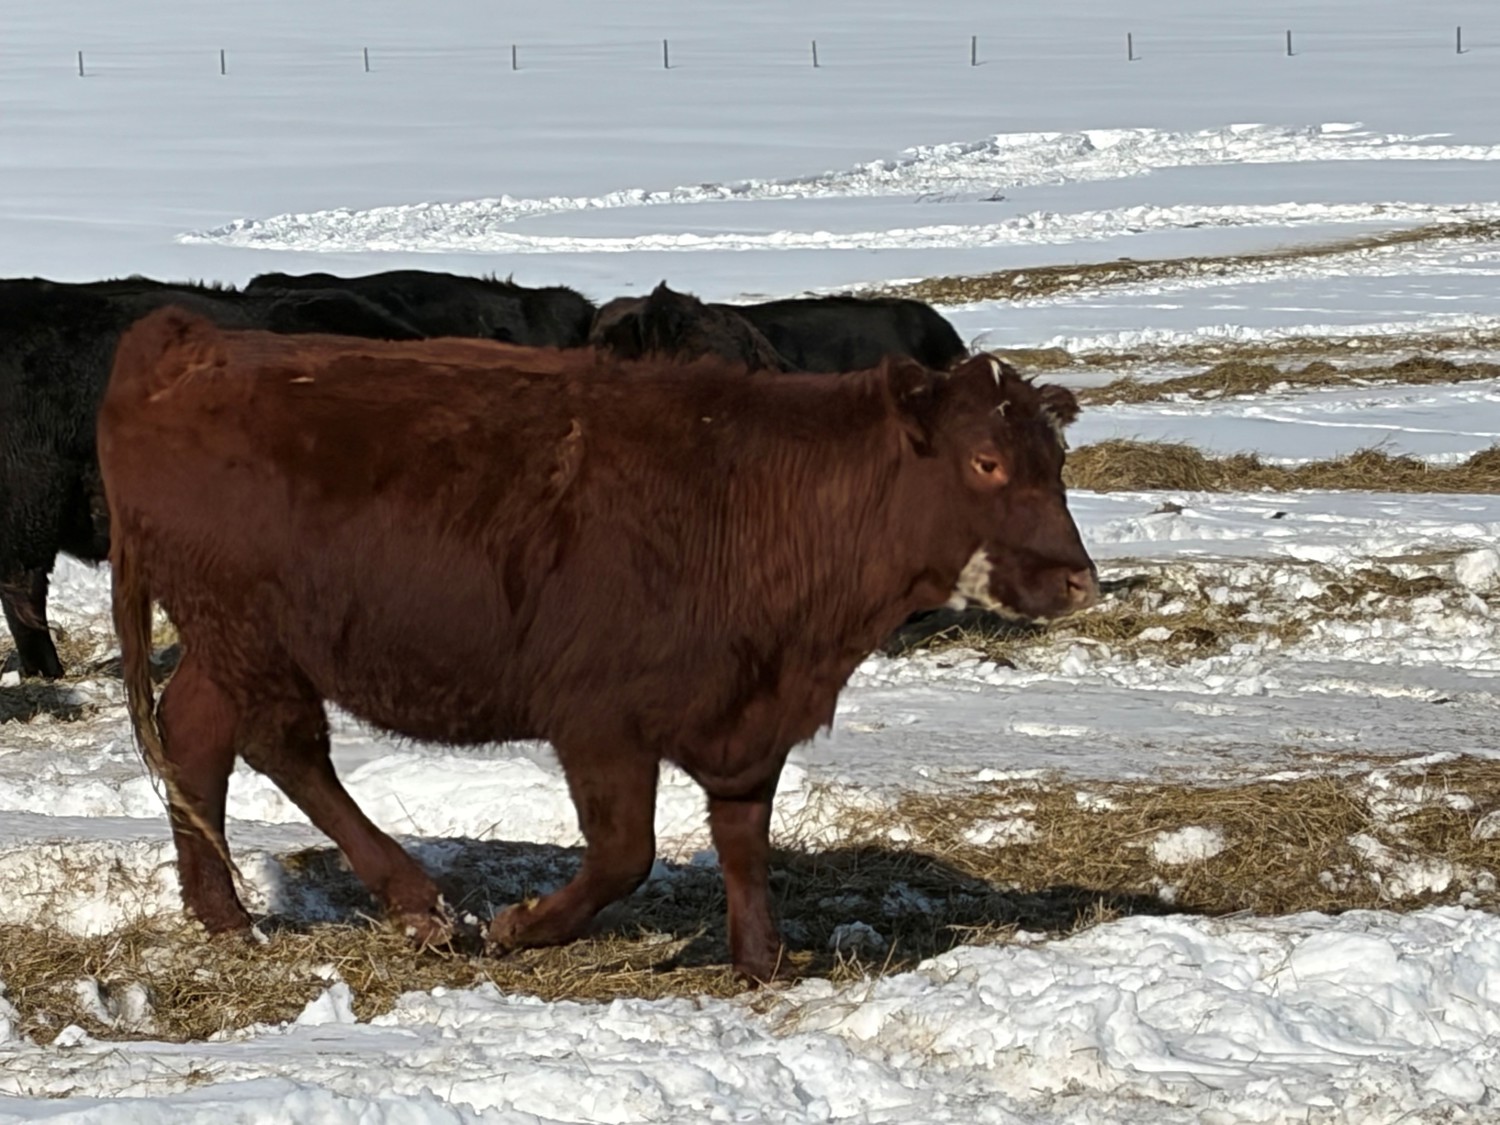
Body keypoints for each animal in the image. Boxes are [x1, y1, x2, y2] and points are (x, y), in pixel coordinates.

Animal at [100, 307, 1097, 981]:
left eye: (1055, 462)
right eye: (985, 462)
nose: (1079, 579)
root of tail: (191, 342)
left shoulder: (749, 715)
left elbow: (744, 835)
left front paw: (763, 956)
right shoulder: (600, 719)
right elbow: (626, 852)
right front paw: (523, 925)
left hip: (227, 639)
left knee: (197, 733)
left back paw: (225, 913)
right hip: (252, 631)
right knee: (286, 746)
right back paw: (420, 906)